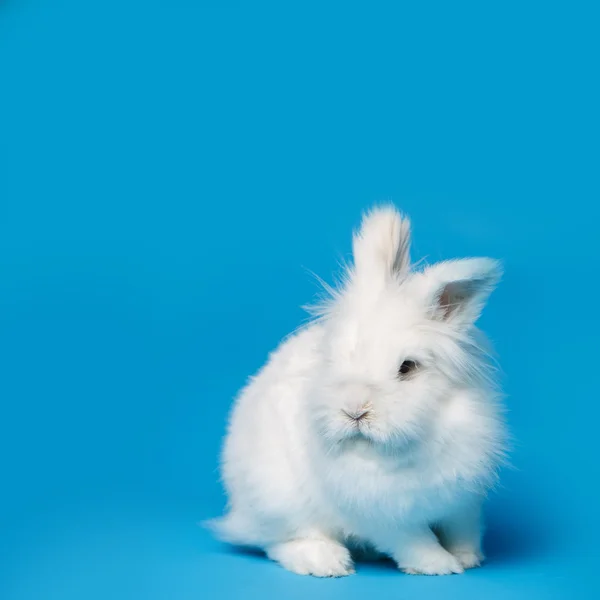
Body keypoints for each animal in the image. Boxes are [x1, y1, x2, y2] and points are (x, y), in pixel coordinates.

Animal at [209, 205, 508, 576]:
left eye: (407, 367)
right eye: (332, 358)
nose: (354, 410)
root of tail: (239, 513)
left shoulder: (463, 500)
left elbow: (462, 529)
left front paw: (468, 557)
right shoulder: (384, 515)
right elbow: (415, 541)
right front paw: (441, 565)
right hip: (277, 498)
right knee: (277, 541)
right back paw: (326, 561)